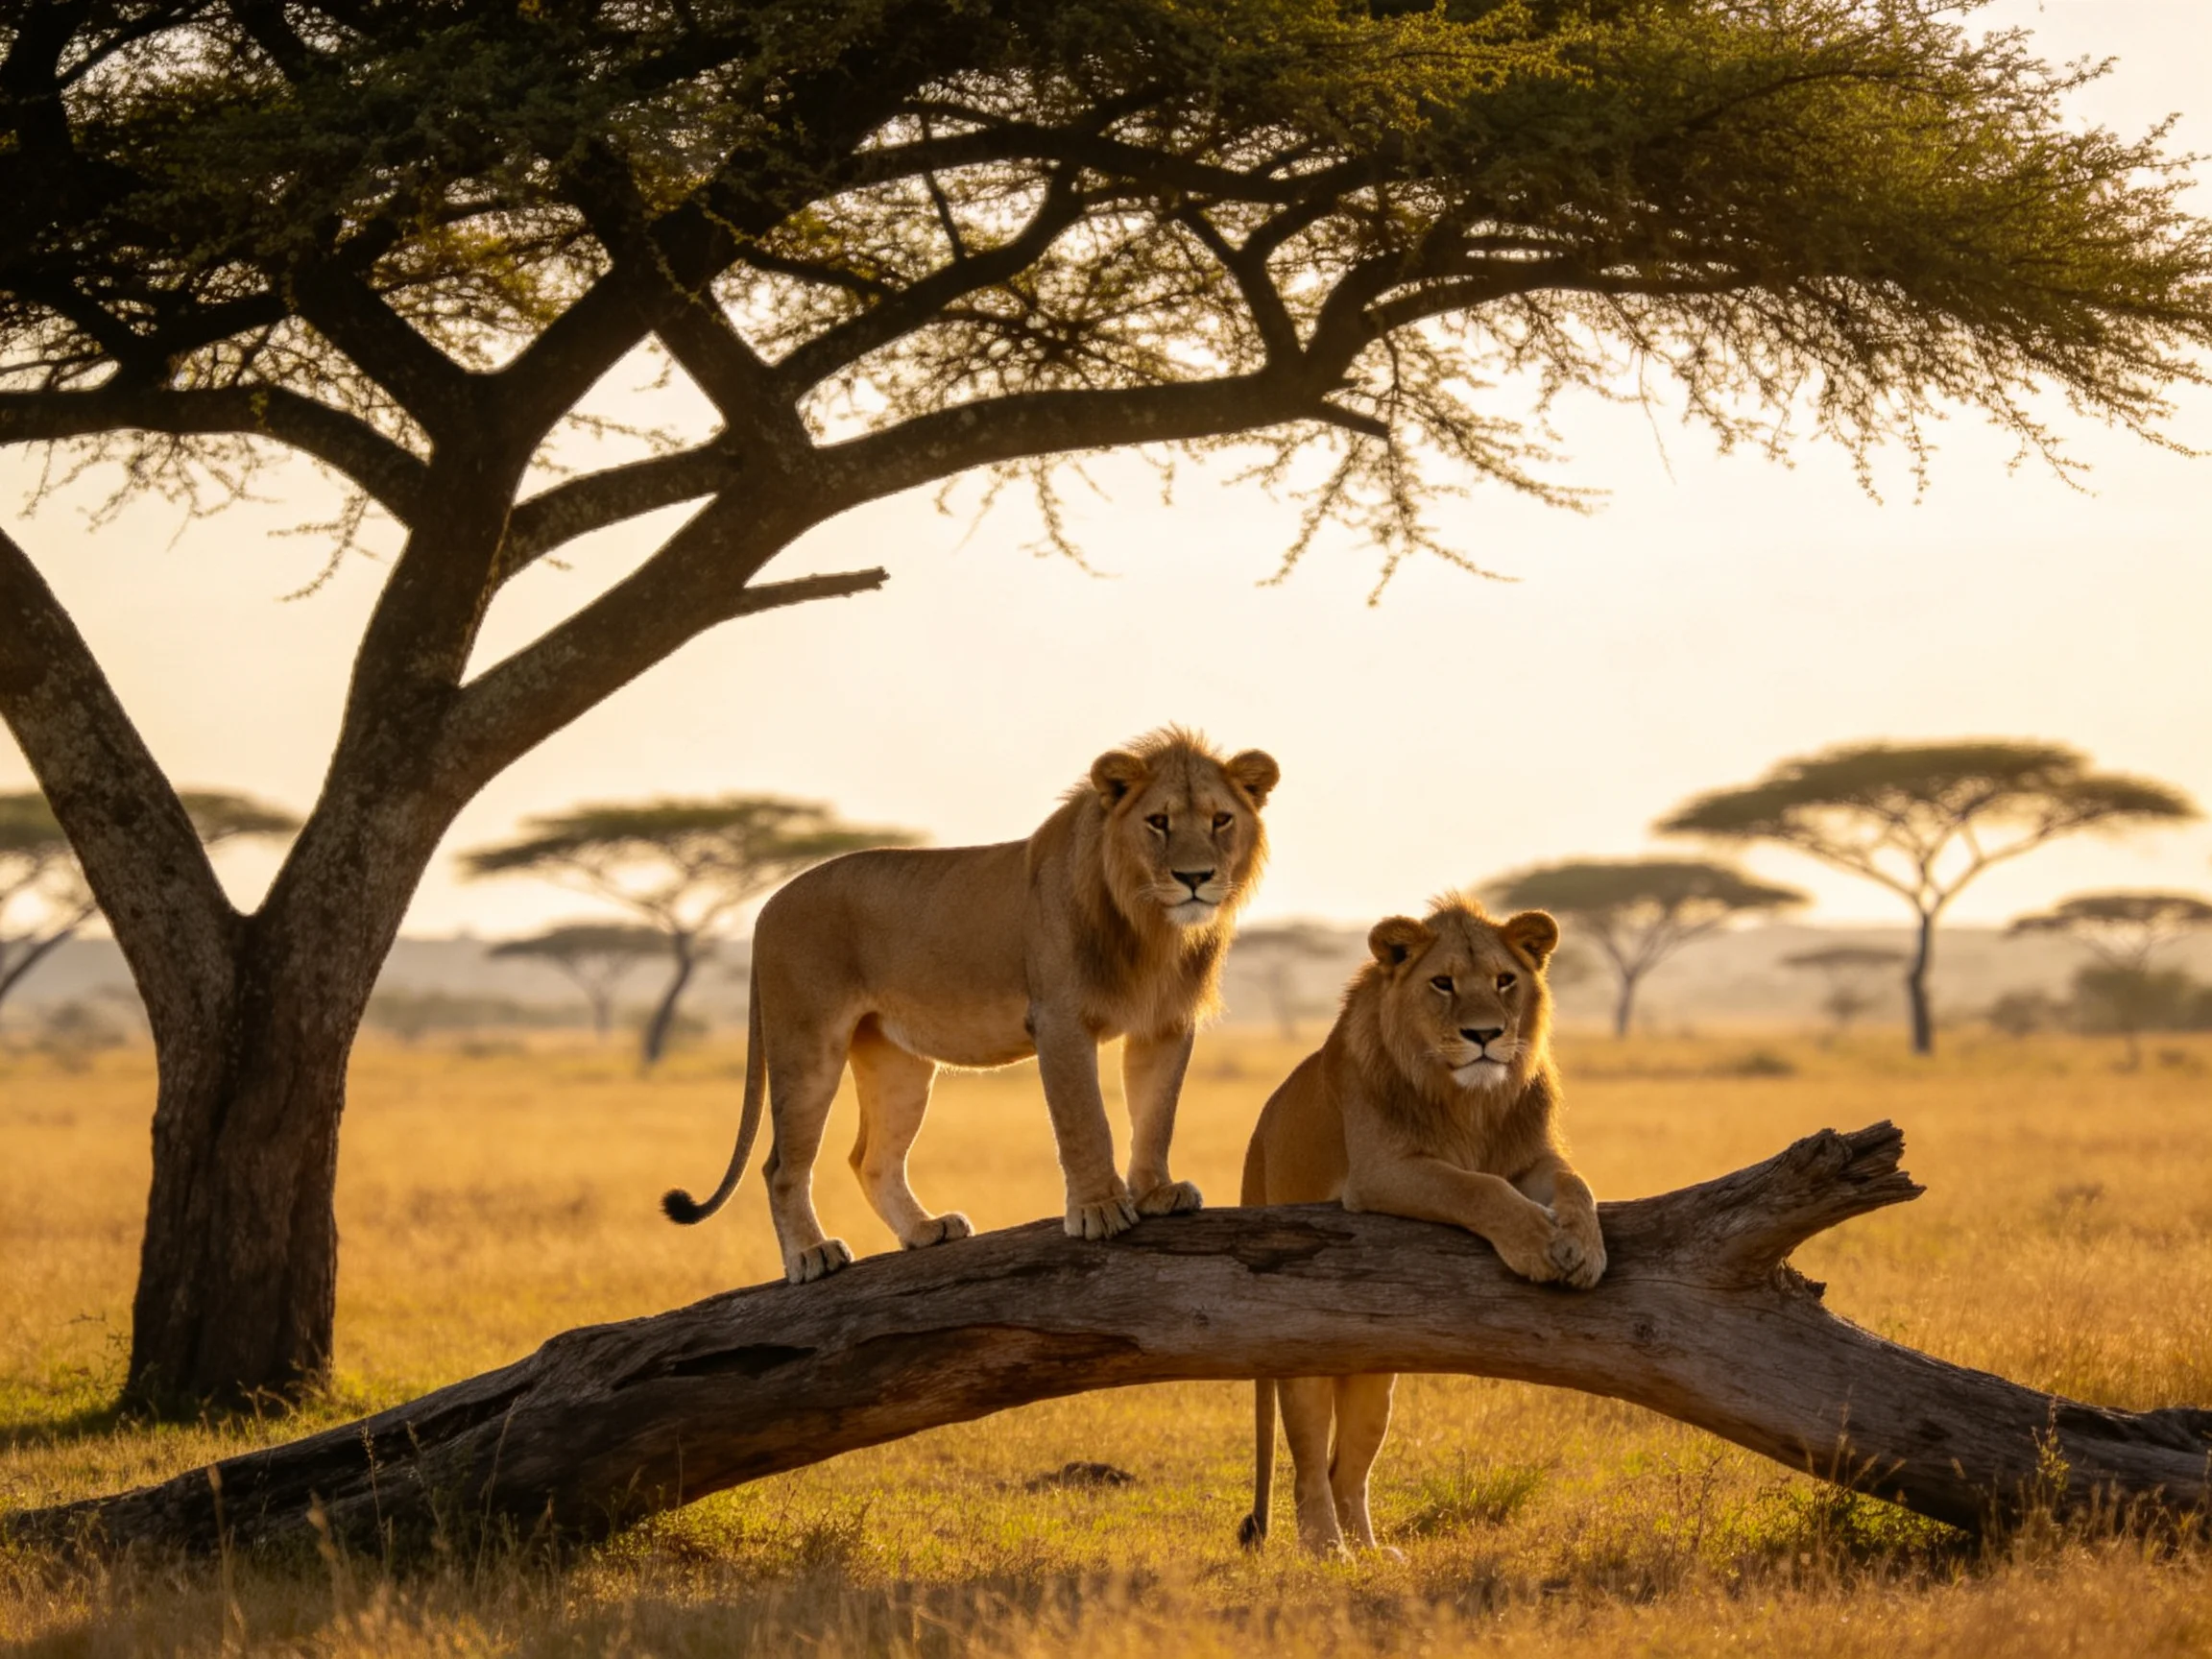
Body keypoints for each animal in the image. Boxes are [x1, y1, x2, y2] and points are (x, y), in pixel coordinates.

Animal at [663, 727, 1281, 1284]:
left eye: (1220, 820)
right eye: (1158, 822)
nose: (1195, 877)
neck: (1151, 924)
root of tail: (767, 905)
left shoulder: (1165, 1023)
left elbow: (1156, 1114)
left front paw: (1155, 1192)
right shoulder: (1060, 1019)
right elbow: (1086, 1120)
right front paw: (1099, 1208)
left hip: (898, 1064)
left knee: (871, 1158)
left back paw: (923, 1230)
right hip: (807, 1044)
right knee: (781, 1166)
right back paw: (811, 1256)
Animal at [1235, 893, 1604, 1556]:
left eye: (1504, 981)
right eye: (1443, 983)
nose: (1484, 1035)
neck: (1469, 1099)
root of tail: (1258, 1143)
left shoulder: (1530, 1157)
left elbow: (1574, 1184)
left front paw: (1585, 1249)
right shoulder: (1382, 1172)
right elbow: (1473, 1186)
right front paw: (1537, 1246)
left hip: (1376, 1375)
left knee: (1346, 1469)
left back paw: (1371, 1554)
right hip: (1302, 1353)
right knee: (1309, 1470)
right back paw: (1329, 1552)